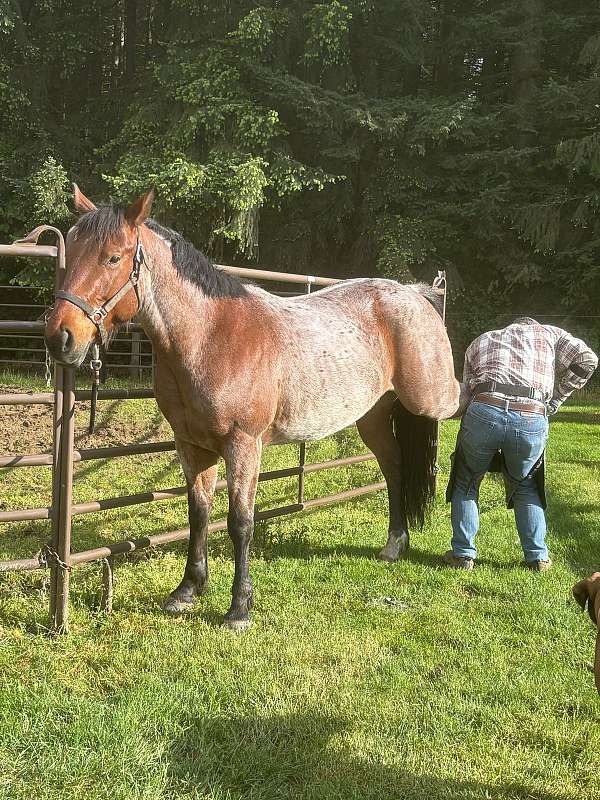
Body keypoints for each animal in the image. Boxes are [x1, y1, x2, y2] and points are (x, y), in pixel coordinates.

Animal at [44, 186, 460, 630]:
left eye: (113, 257)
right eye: (71, 250)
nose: (60, 337)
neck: (211, 336)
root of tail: (416, 294)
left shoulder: (244, 445)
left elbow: (240, 522)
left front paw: (239, 608)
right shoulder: (192, 446)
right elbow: (199, 514)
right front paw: (187, 591)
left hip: (431, 398)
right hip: (374, 418)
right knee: (395, 467)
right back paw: (395, 544)